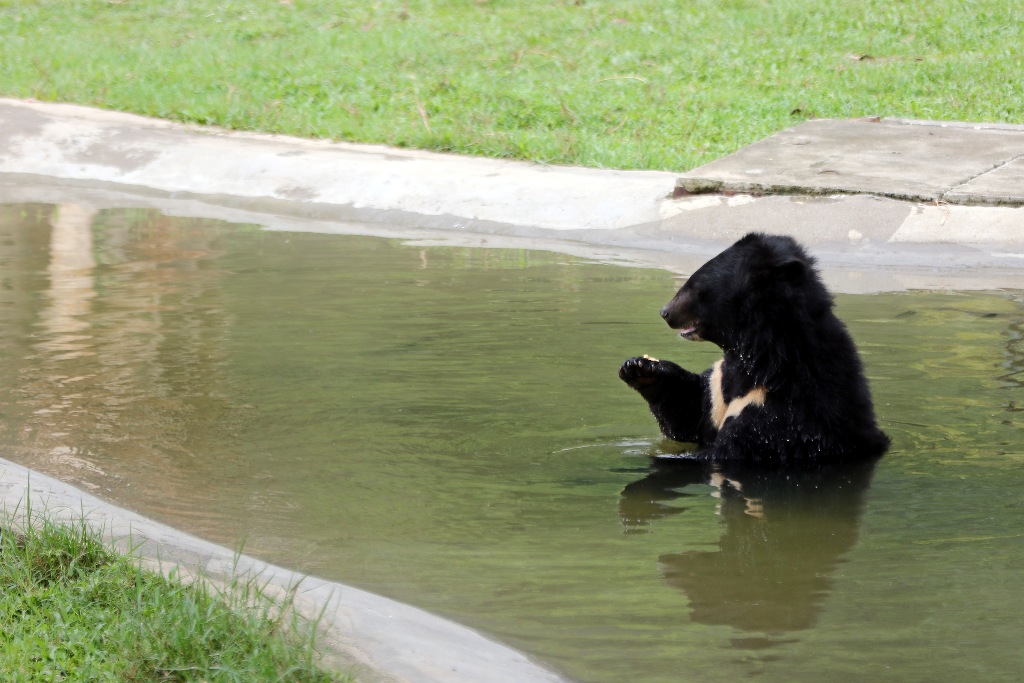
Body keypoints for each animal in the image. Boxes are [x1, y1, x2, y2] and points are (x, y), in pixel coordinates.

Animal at [618, 232, 892, 462]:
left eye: (696, 287)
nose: (665, 312)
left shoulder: (787, 404)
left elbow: (737, 447)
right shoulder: (720, 385)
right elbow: (691, 413)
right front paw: (640, 368)